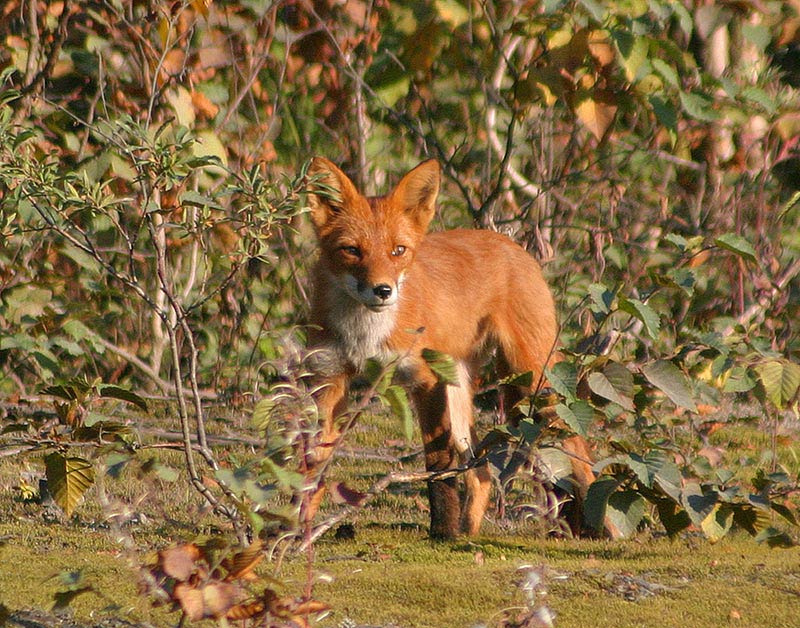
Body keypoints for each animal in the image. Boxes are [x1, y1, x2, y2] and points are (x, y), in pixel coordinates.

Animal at [303, 157, 598, 539]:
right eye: (352, 250)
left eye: (398, 251)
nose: (382, 291)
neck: (364, 333)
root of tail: (514, 245)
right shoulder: (329, 377)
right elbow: (312, 468)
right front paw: (293, 531)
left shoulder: (424, 379)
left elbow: (438, 467)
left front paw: (442, 530)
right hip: (461, 388)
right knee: (481, 472)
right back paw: (470, 531)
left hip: (534, 376)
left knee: (577, 450)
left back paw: (599, 525)